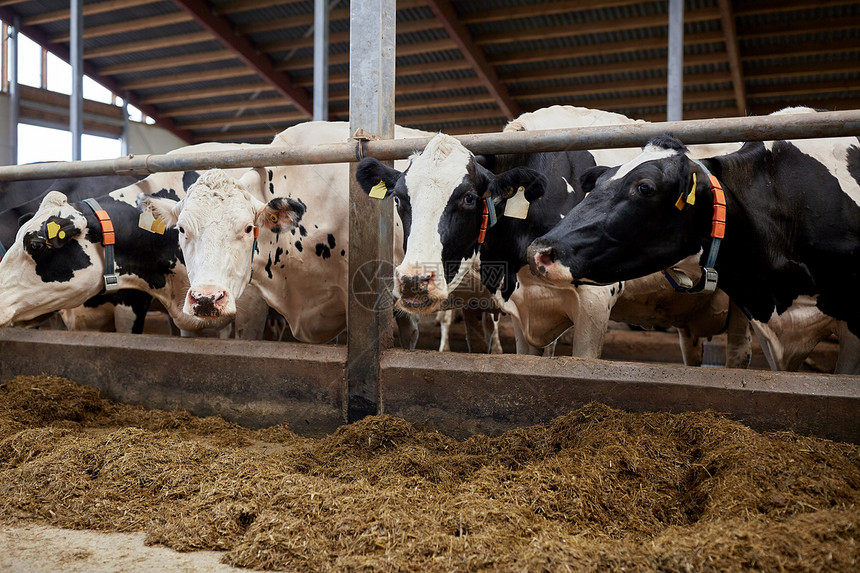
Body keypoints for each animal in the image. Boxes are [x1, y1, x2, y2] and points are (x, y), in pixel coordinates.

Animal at [354, 106, 752, 366]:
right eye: (399, 199)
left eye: (468, 197)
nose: (413, 281)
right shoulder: (523, 309)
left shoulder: (595, 302)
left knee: (738, 354)